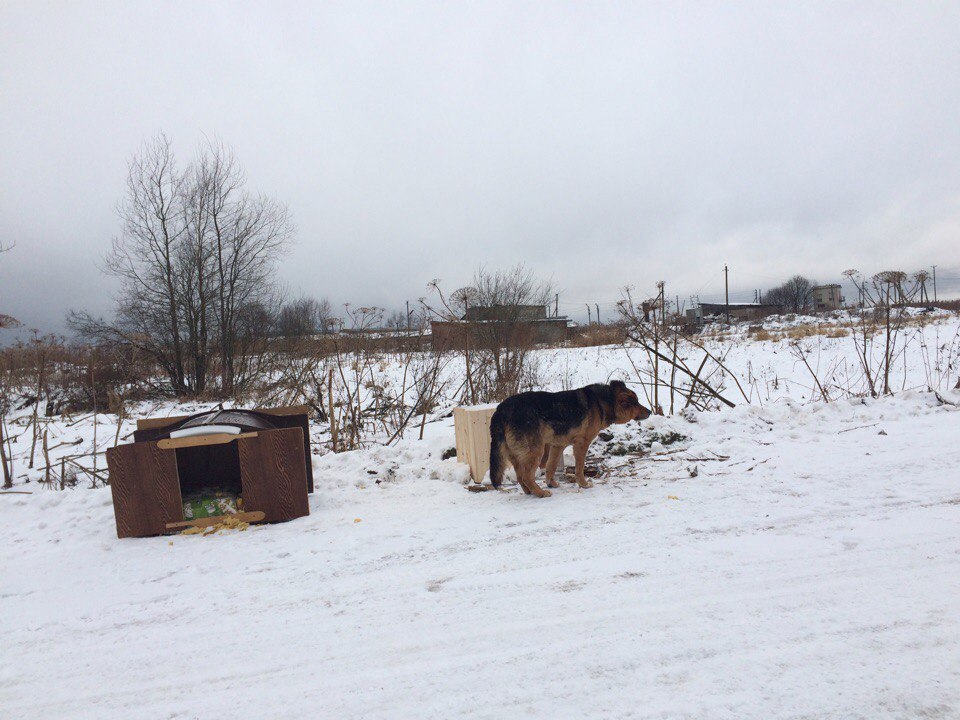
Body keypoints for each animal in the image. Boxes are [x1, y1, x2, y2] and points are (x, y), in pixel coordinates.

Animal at [488, 382, 652, 496]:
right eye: (636, 403)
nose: (650, 411)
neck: (602, 403)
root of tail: (501, 410)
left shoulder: (557, 446)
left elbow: (551, 466)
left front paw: (551, 483)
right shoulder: (581, 444)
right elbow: (579, 468)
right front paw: (583, 484)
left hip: (516, 454)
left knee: (521, 476)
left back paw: (530, 491)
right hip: (535, 451)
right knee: (527, 476)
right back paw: (540, 493)